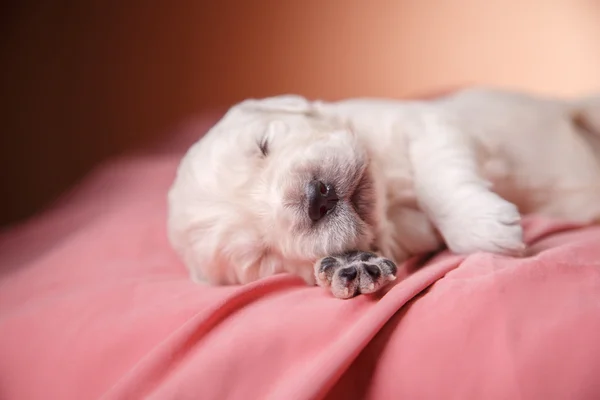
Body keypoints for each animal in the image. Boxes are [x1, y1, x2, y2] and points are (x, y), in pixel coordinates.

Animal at [165, 89, 600, 298]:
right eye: (261, 255)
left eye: (264, 144)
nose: (316, 198)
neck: (386, 193)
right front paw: (346, 269)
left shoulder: (424, 121)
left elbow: (437, 175)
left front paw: (482, 224)